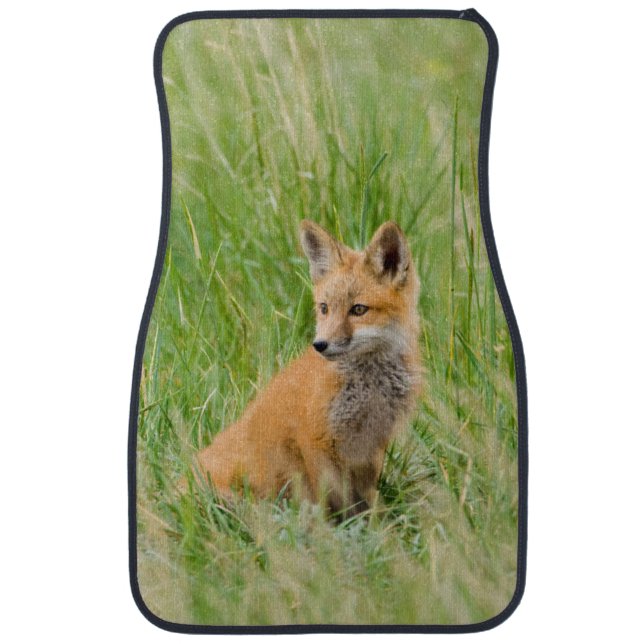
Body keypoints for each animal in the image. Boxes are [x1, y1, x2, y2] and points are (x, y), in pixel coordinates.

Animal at [194, 219, 422, 517]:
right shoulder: (314, 439)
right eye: (324, 308)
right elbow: (333, 498)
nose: (320, 345)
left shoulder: (372, 445)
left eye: (358, 310)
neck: (369, 386)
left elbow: (368, 498)